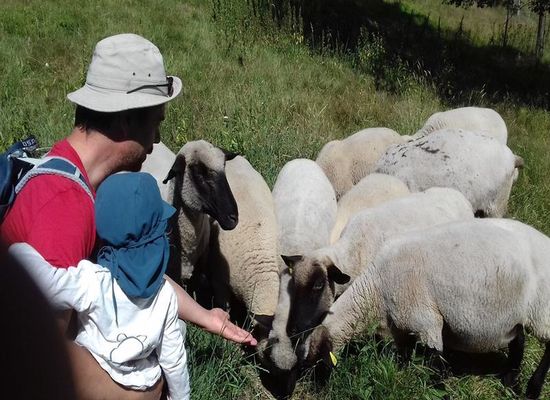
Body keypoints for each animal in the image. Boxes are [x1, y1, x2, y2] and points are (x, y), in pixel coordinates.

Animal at [305, 218, 550, 399]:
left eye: (316, 361)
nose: (314, 392)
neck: (376, 289)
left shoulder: (426, 320)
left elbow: (437, 367)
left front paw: (441, 392)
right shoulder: (401, 327)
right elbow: (403, 358)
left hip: (542, 311)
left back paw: (532, 389)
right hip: (517, 313)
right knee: (518, 338)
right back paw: (510, 381)